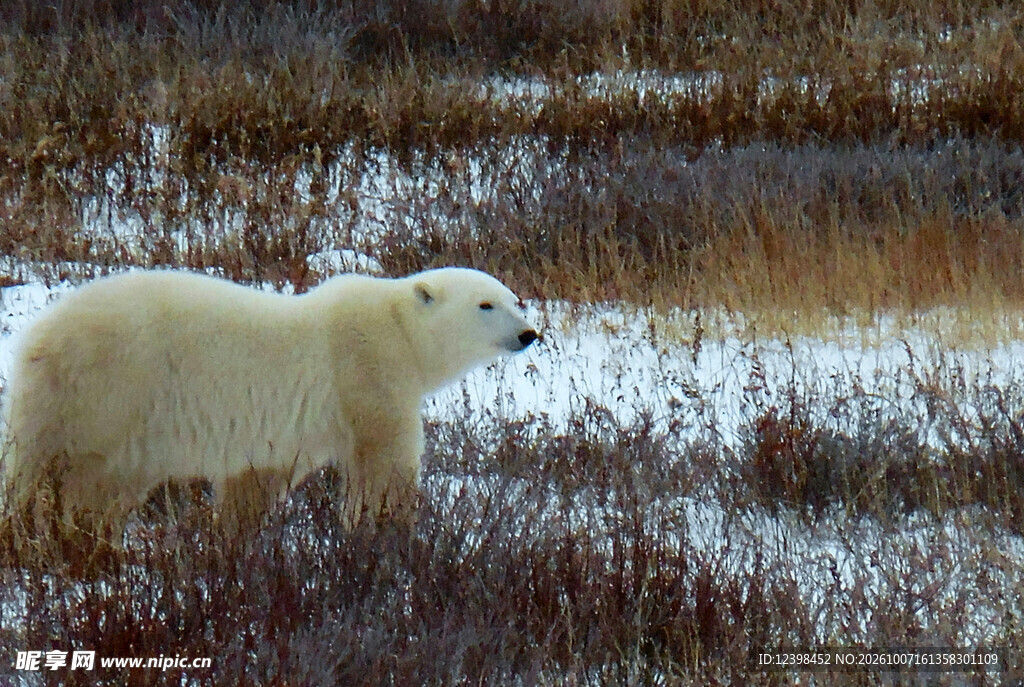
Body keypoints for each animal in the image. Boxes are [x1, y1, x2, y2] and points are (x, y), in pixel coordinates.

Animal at [2, 267, 539, 540]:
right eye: (485, 304)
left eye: (514, 298)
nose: (528, 334)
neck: (399, 329)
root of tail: (37, 339)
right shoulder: (365, 375)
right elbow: (384, 466)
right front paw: (386, 530)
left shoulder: (279, 432)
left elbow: (256, 480)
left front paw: (234, 537)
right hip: (109, 394)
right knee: (78, 479)